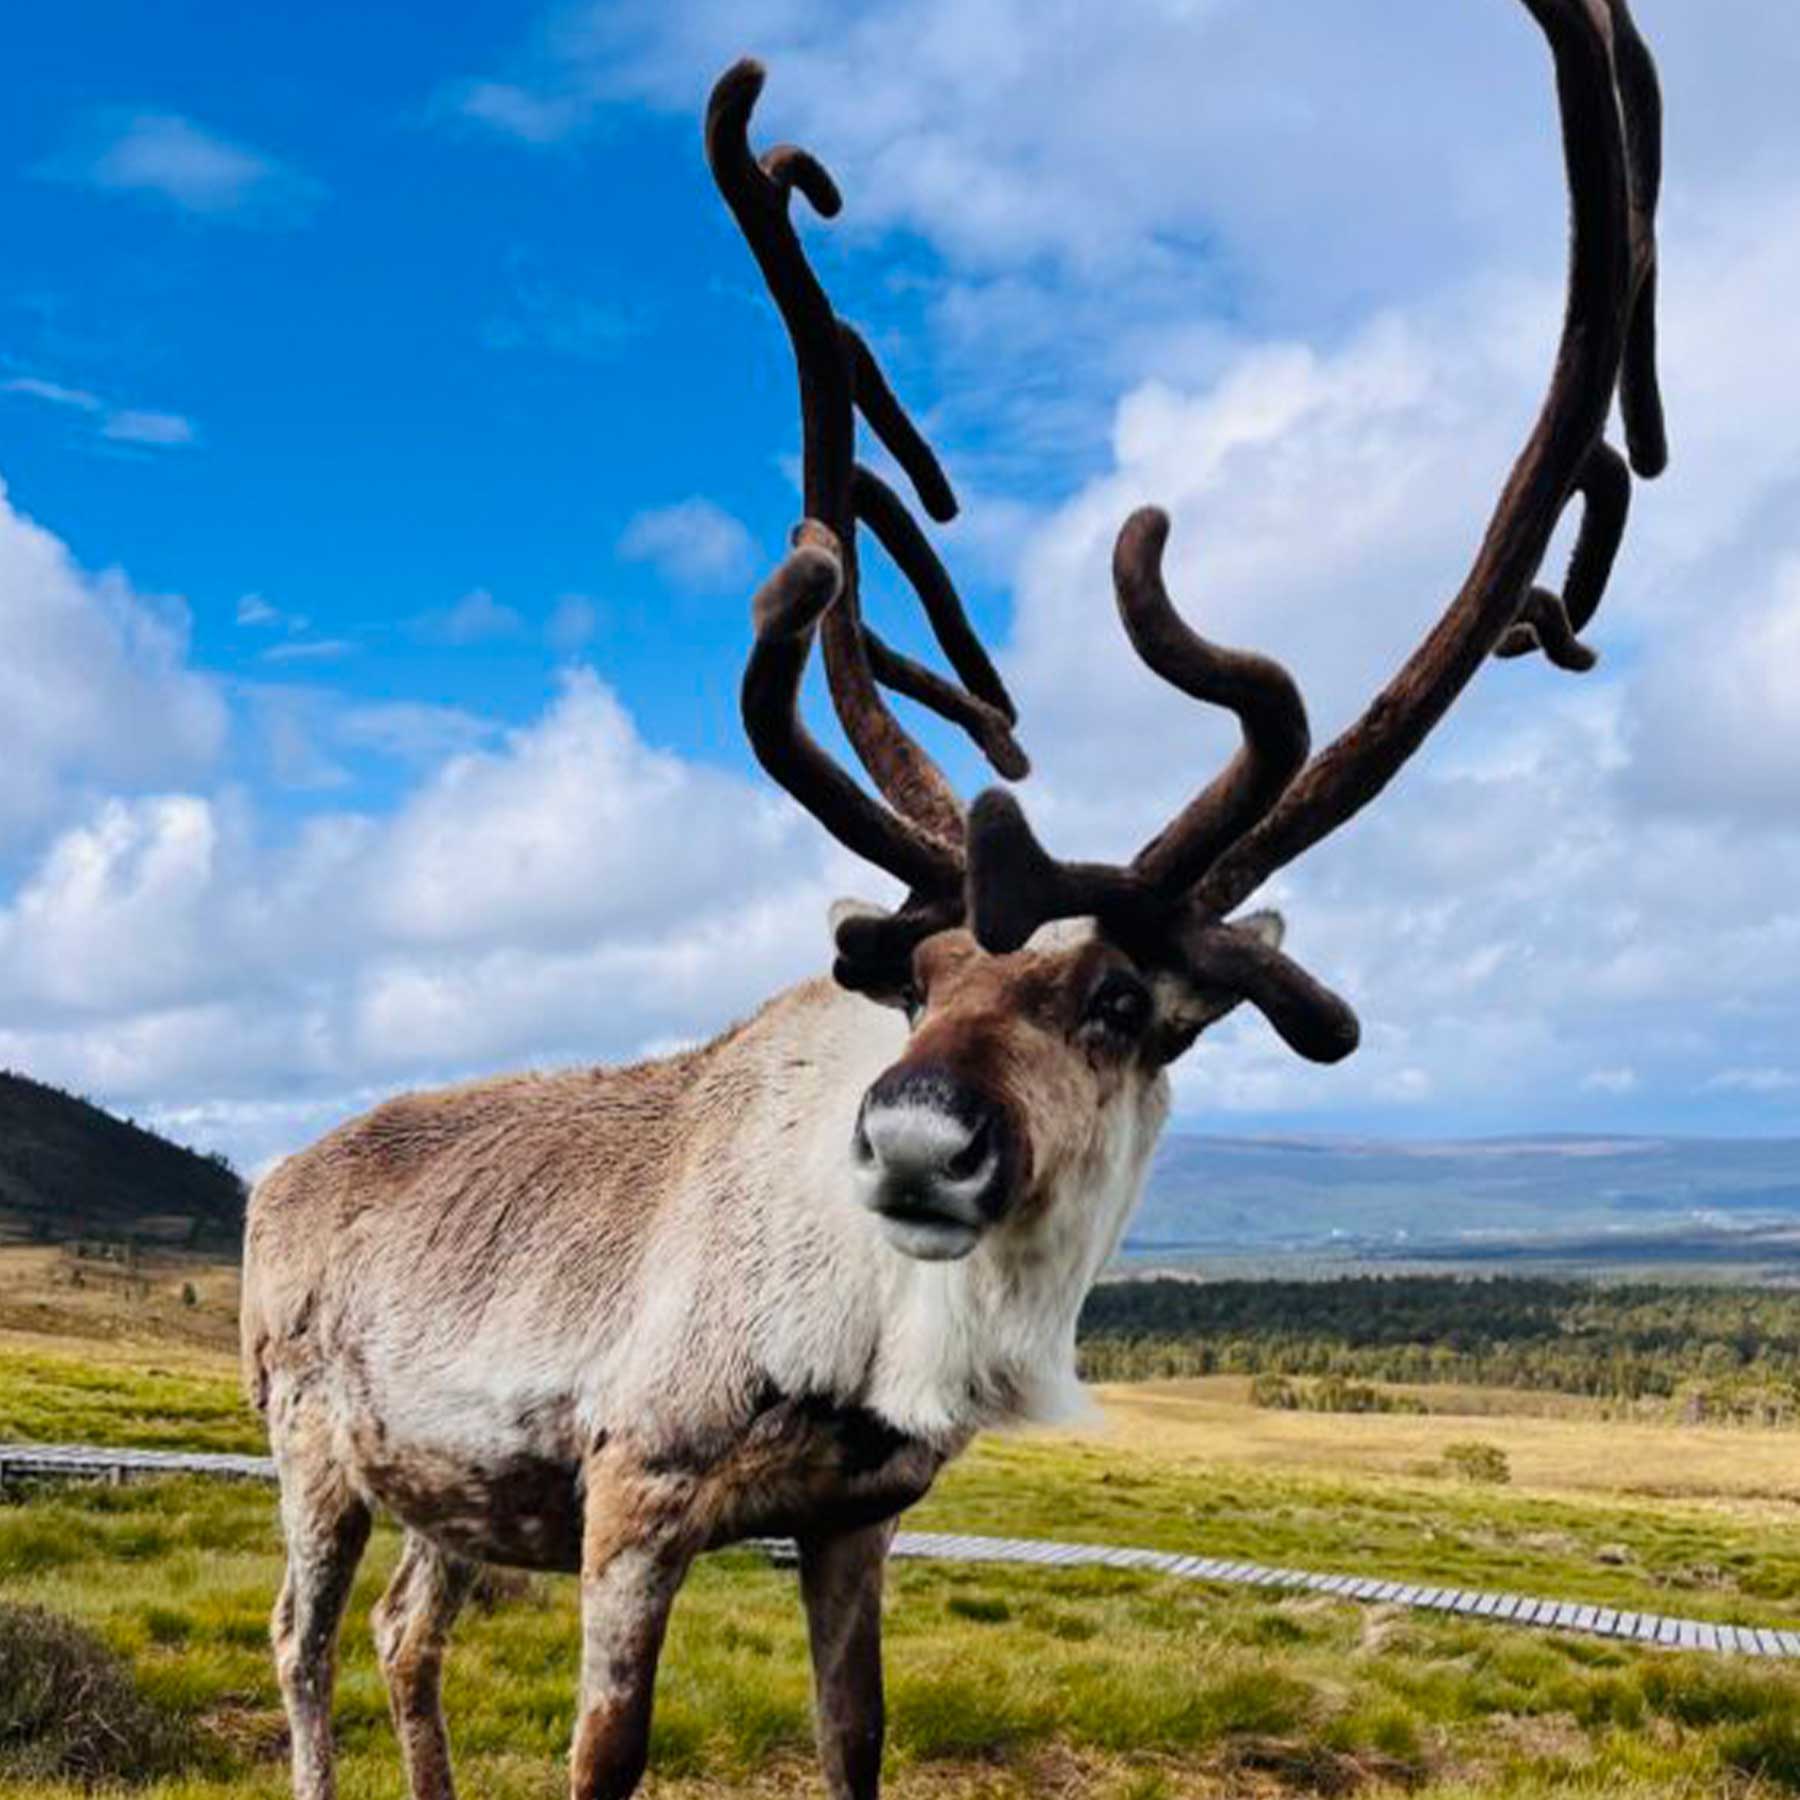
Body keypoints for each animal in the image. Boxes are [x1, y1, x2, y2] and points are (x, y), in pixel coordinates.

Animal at [240, 4, 1666, 1796]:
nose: (918, 1142)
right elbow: (606, 1758)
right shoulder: (635, 1488)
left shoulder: (859, 1519)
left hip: (458, 1491)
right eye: (918, 989)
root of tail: (276, 1174)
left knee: (402, 1634)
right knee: (302, 1642)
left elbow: (857, 1741)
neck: (875, 1344)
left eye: (1125, 1004)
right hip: (314, 1441)